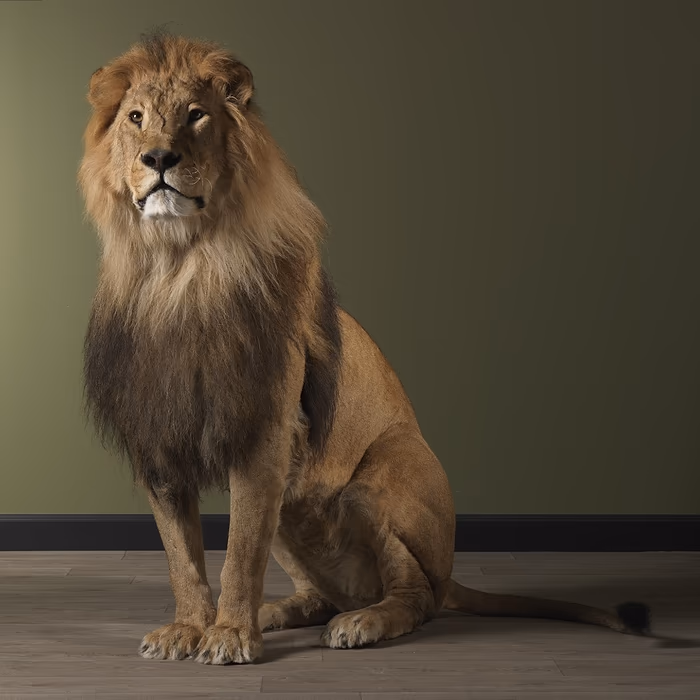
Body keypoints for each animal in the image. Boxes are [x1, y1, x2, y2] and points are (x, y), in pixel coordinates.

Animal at [79, 33, 650, 665]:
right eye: (136, 118)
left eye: (196, 115)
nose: (158, 159)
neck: (178, 269)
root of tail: (449, 572)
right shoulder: (159, 441)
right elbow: (183, 556)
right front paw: (189, 628)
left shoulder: (265, 433)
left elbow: (239, 554)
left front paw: (228, 636)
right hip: (294, 511)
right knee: (321, 592)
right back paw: (280, 611)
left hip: (375, 486)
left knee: (416, 597)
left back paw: (360, 623)